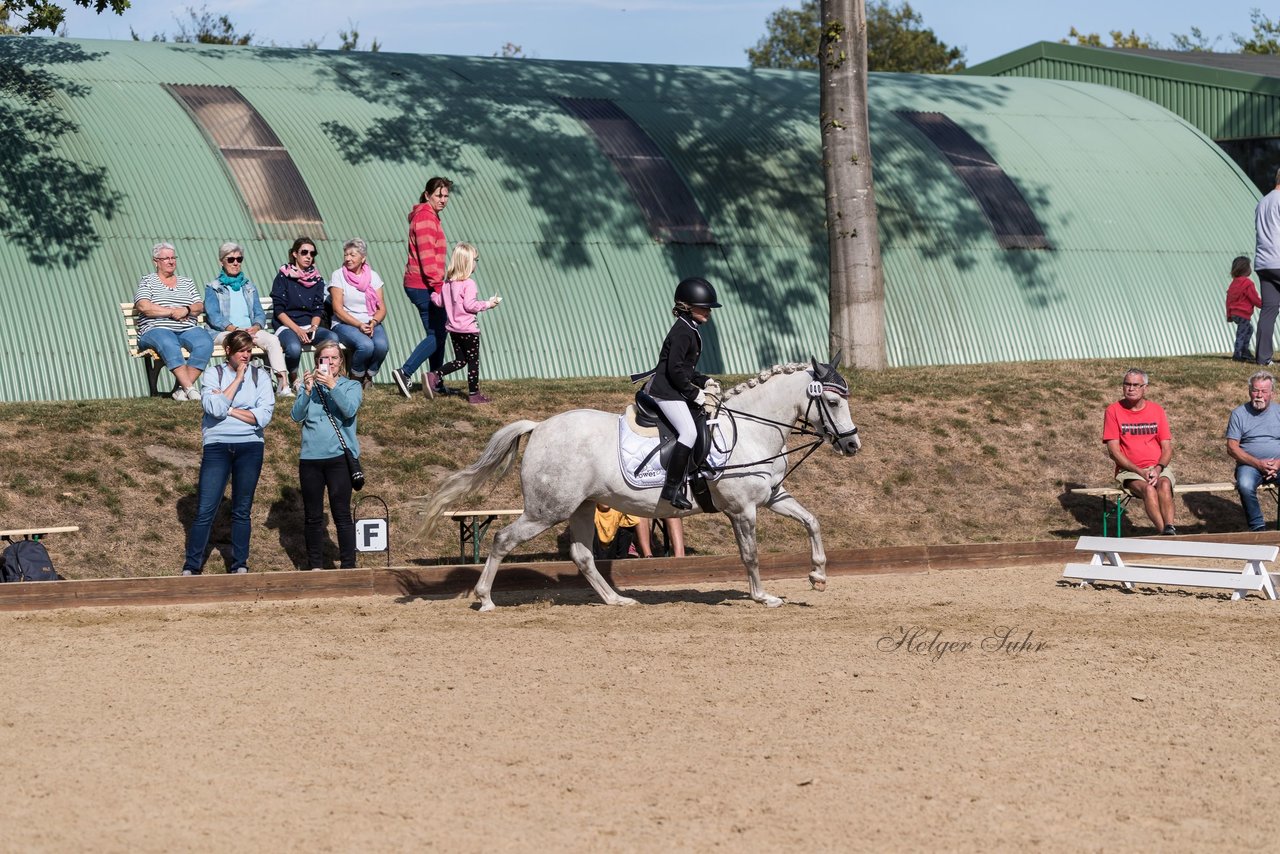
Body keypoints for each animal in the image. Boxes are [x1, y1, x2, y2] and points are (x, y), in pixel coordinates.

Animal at [419, 358, 860, 612]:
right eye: (832, 402)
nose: (852, 444)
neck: (752, 428)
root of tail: (540, 426)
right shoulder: (742, 509)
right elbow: (750, 555)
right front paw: (763, 596)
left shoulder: (772, 496)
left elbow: (812, 521)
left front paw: (818, 576)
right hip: (547, 509)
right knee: (503, 540)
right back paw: (485, 599)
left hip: (580, 507)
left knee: (582, 555)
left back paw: (616, 599)